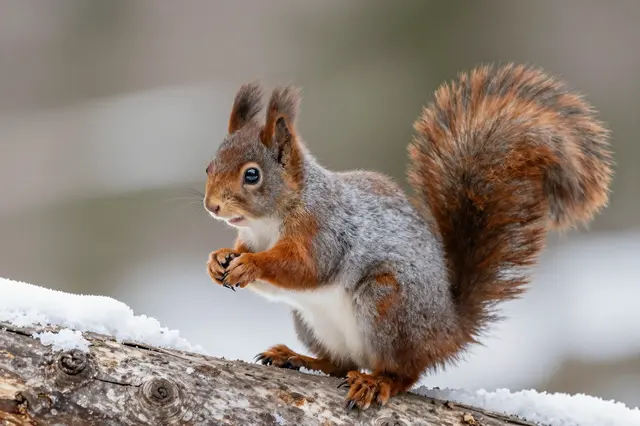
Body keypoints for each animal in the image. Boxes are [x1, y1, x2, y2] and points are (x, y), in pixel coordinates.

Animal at [203, 63, 613, 411]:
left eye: (252, 175)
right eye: (209, 166)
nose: (211, 206)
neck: (267, 222)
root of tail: (449, 329)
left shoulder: (325, 231)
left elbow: (305, 268)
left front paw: (250, 265)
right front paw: (218, 259)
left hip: (387, 304)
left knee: (404, 372)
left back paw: (376, 382)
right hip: (311, 322)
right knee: (339, 363)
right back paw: (296, 357)